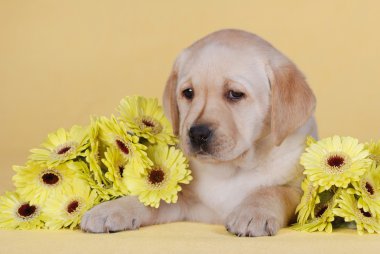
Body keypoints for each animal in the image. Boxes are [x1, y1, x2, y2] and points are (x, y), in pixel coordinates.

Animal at [81, 29, 318, 236]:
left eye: (235, 94)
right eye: (188, 93)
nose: (197, 134)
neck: (231, 169)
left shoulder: (298, 190)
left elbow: (273, 190)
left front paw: (253, 212)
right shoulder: (183, 197)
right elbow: (153, 198)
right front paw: (111, 209)